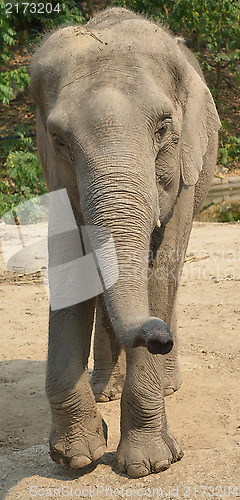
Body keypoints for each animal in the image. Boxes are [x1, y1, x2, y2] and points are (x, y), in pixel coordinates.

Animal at [30, 6, 221, 476]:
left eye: (164, 128)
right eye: (58, 140)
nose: (158, 337)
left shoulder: (183, 170)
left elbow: (160, 271)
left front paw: (148, 465)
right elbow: (71, 267)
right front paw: (77, 456)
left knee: (169, 280)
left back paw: (167, 385)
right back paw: (105, 389)